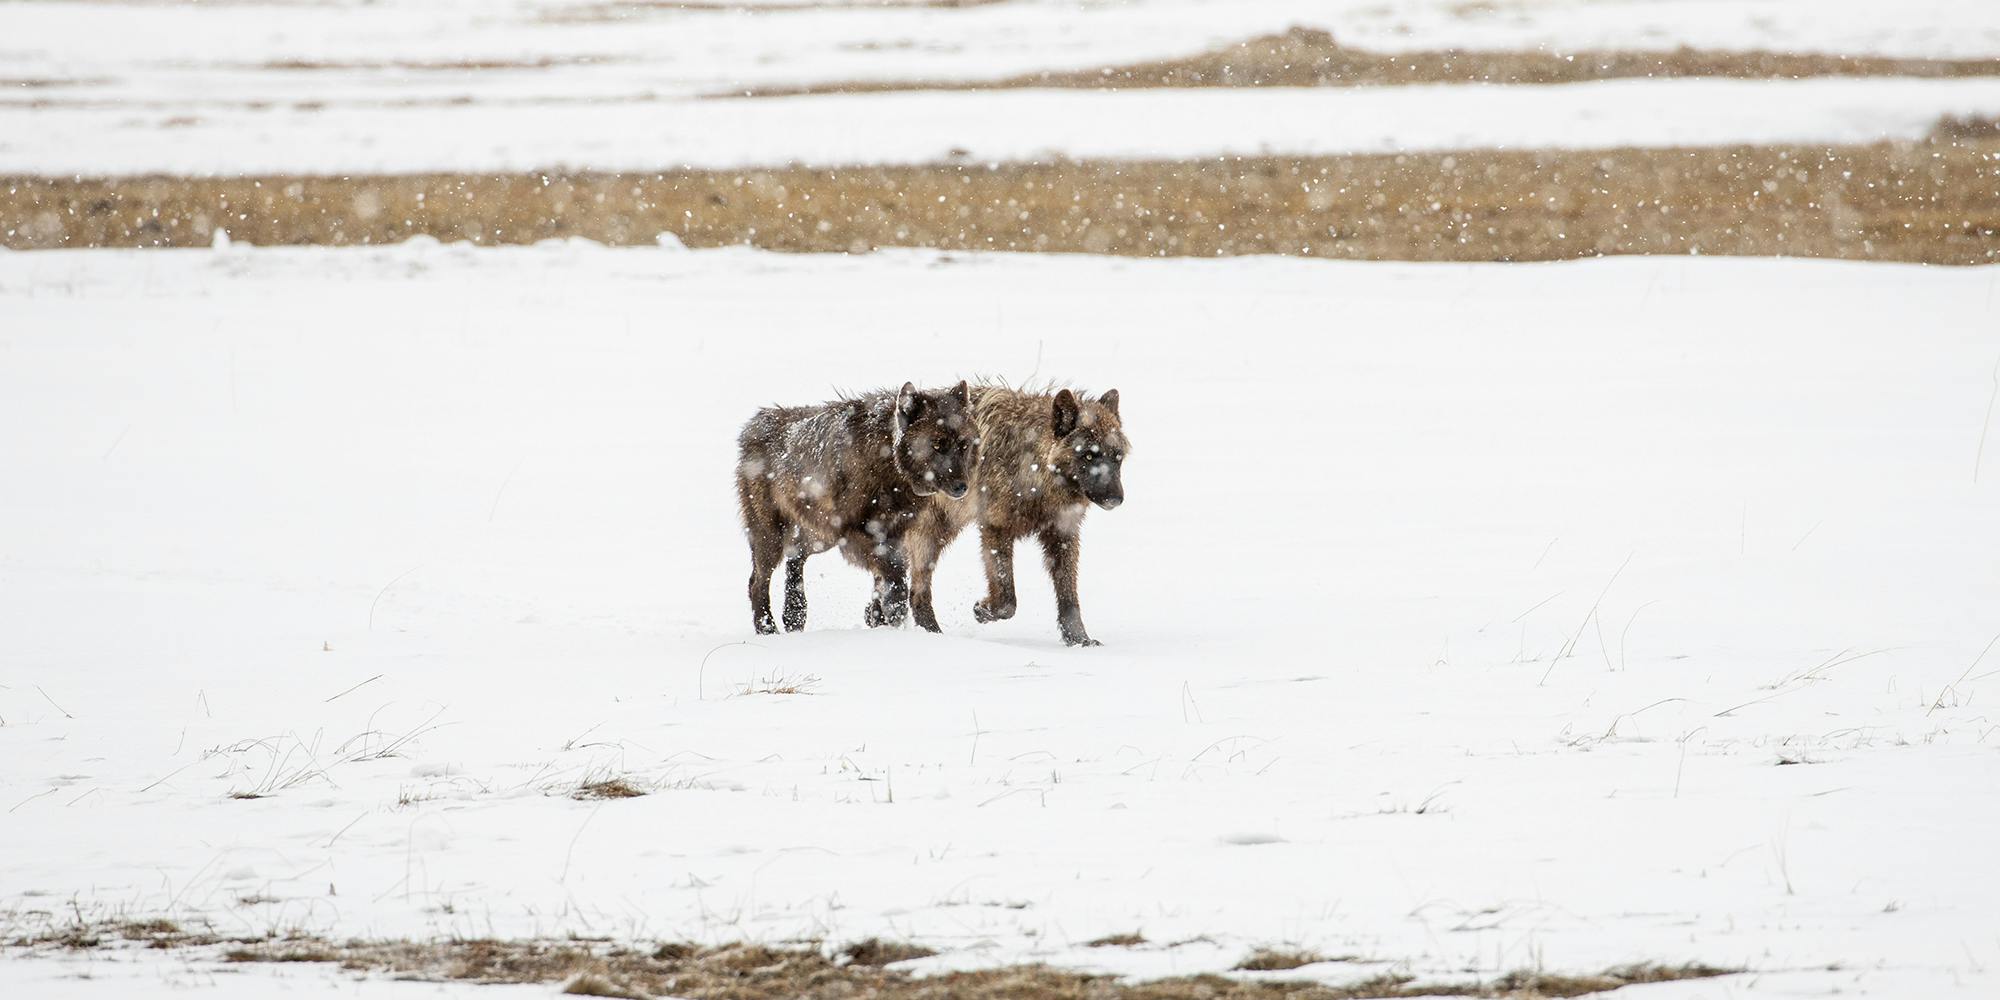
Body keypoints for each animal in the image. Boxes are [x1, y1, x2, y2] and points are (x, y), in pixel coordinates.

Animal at [740, 380, 980, 632]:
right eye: (937, 445)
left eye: (963, 445)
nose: (962, 487)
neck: (887, 460)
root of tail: (756, 423)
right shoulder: (858, 532)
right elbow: (894, 576)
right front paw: (894, 614)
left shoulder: (895, 533)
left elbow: (886, 576)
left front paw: (883, 618)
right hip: (772, 536)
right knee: (757, 582)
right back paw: (767, 628)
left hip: (821, 534)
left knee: (795, 555)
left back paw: (794, 615)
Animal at [908, 382, 1128, 648]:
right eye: (1088, 455)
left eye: (1117, 457)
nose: (1115, 499)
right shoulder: (995, 529)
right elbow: (1007, 601)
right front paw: (982, 610)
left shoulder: (1063, 535)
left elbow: (1069, 598)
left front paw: (1079, 641)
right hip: (928, 536)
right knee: (916, 593)